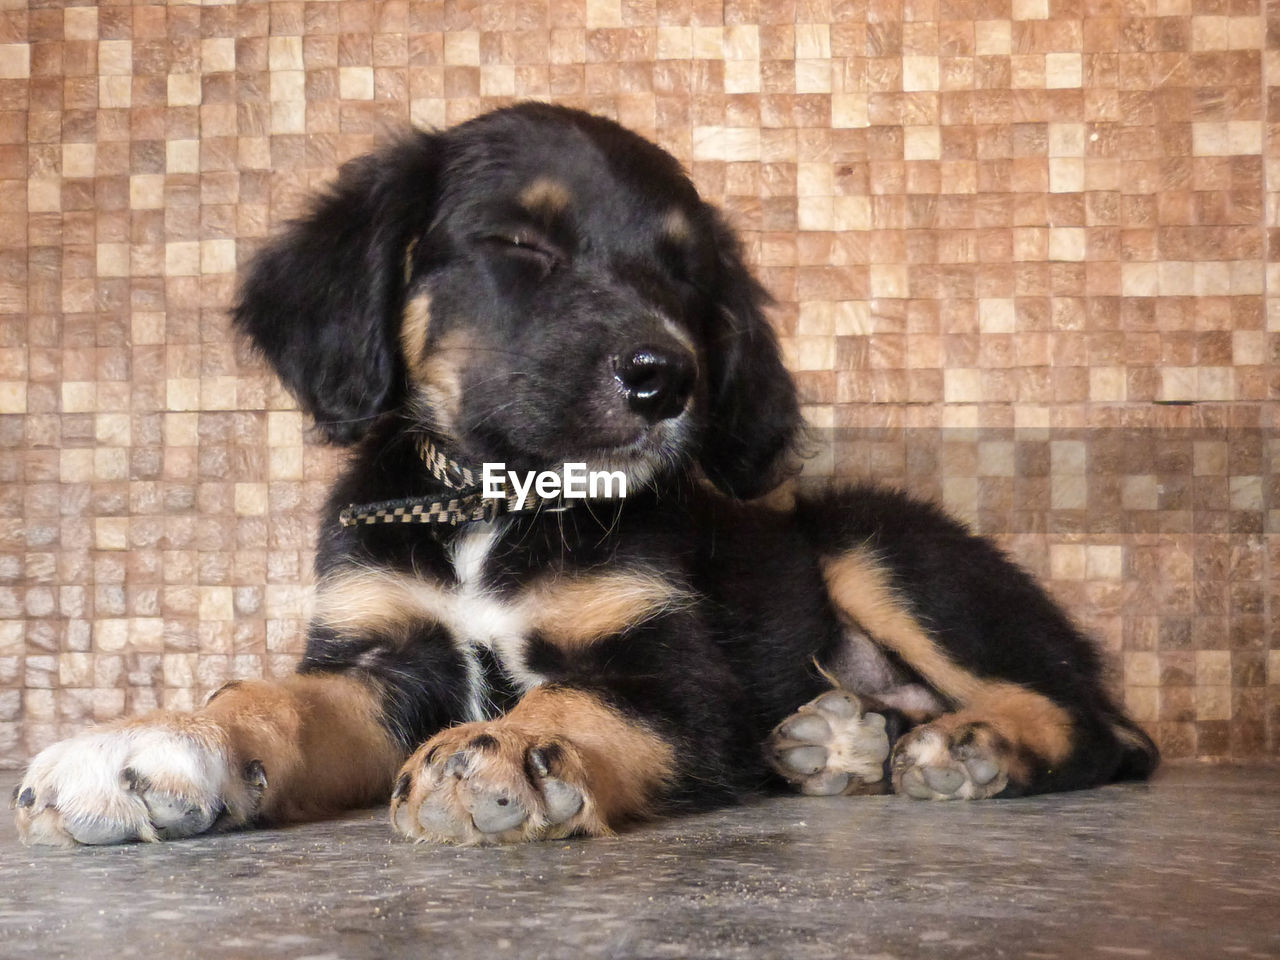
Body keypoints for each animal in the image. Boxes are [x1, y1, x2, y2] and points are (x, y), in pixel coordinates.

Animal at [10, 104, 1157, 849]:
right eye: (520, 243)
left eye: (688, 274)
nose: (666, 378)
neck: (497, 503)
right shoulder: (381, 655)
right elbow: (271, 700)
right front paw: (155, 748)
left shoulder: (671, 675)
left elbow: (572, 700)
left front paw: (507, 753)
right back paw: (836, 740)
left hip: (874, 543)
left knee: (1104, 727)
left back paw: (972, 747)